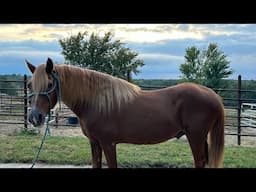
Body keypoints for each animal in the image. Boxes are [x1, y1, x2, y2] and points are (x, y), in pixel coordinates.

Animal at [25, 57, 223, 168]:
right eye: (29, 85)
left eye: (49, 84)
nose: (34, 117)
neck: (96, 101)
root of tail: (212, 94)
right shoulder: (95, 143)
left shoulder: (108, 143)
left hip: (195, 137)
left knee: (199, 161)